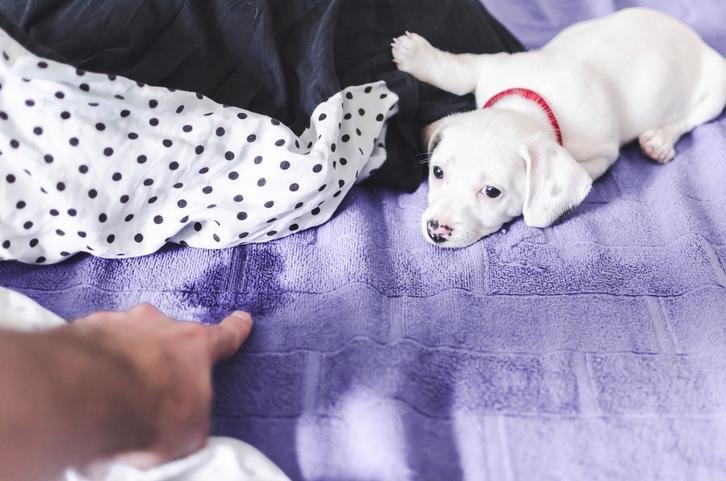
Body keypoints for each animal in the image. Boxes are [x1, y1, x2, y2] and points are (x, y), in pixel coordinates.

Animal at [392, 7, 726, 248]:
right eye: (437, 172)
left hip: (715, 89)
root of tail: (692, 36)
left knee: (690, 118)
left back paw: (660, 140)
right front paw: (420, 57)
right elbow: (461, 71)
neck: (531, 105)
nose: (435, 230)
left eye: (491, 192)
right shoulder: (494, 66)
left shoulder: (601, 154)